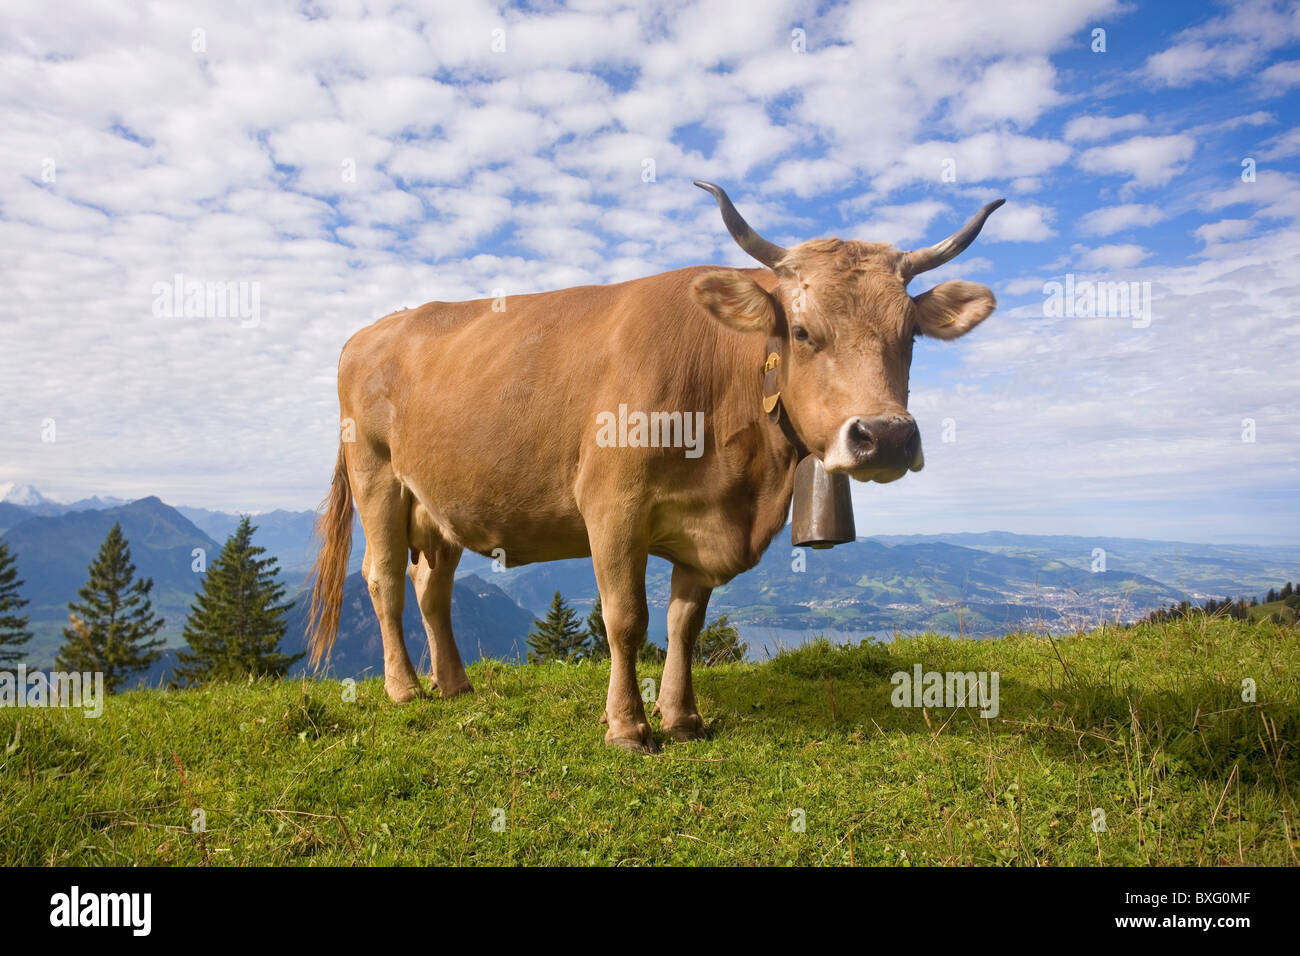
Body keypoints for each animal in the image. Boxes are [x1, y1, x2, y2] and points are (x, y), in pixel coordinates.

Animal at [306, 183, 1003, 754]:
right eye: (803, 332)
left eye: (910, 335)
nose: (885, 437)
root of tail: (369, 332)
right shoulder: (612, 505)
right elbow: (627, 619)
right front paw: (627, 727)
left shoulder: (704, 527)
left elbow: (684, 624)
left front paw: (683, 718)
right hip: (377, 478)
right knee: (384, 579)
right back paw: (404, 689)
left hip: (440, 500)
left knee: (432, 586)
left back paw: (454, 684)